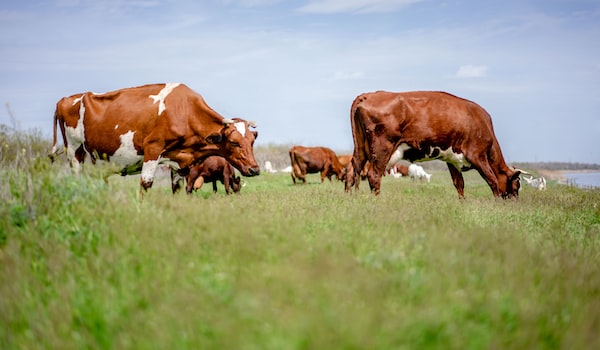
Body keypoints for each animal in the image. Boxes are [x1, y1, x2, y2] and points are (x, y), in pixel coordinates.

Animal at [49, 83, 260, 196]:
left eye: (251, 142)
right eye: (234, 142)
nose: (254, 169)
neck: (184, 111)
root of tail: (66, 99)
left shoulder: (178, 161)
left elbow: (177, 188)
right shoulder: (152, 149)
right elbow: (145, 185)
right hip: (74, 151)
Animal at [344, 90, 524, 198]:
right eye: (516, 186)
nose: (514, 203)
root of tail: (369, 95)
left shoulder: (452, 159)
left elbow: (459, 184)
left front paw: (463, 203)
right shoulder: (477, 155)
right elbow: (492, 179)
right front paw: (497, 204)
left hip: (361, 148)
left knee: (352, 171)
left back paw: (349, 197)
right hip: (382, 148)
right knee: (373, 175)